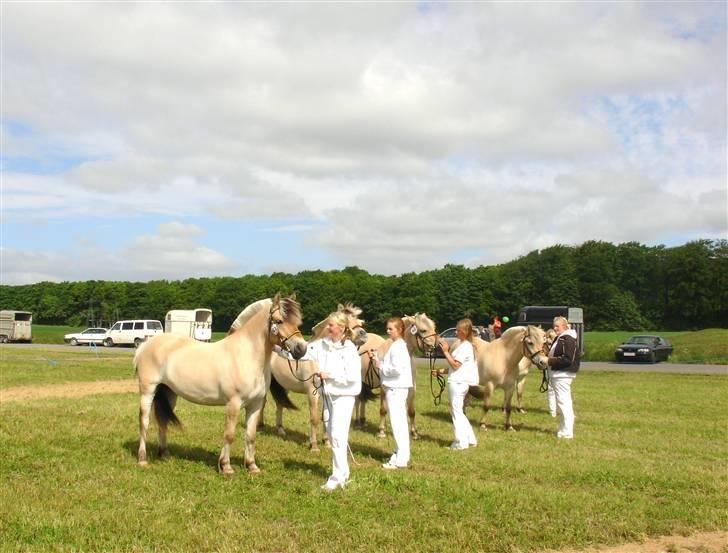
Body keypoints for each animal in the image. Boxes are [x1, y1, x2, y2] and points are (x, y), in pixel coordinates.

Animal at [134, 294, 308, 474]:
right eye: (279, 321)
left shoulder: (255, 404)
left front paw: (251, 466)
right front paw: (226, 467)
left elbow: (250, 435)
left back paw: (164, 454)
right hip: (148, 390)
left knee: (162, 422)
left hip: (169, 393)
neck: (246, 355)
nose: (301, 349)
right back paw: (142, 459)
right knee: (144, 421)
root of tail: (145, 345)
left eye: (297, 322)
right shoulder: (233, 403)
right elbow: (229, 434)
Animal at [260, 304, 366, 450]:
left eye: (360, 321)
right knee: (263, 403)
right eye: (347, 322)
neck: (317, 359)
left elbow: (325, 417)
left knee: (280, 404)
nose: (364, 335)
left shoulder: (325, 393)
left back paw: (280, 430)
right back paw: (260, 426)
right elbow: (314, 419)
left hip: (283, 386)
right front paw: (314, 446)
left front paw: (326, 442)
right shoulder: (312, 393)